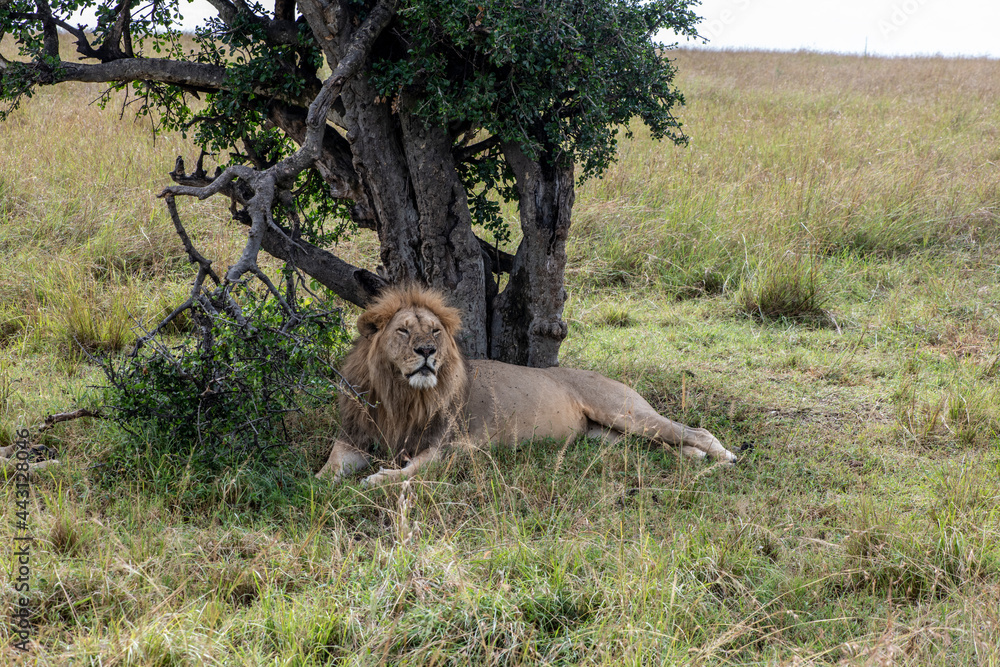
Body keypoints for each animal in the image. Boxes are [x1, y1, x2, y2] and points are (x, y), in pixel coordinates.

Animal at [317, 285, 737, 486]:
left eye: (434, 331)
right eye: (403, 331)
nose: (427, 351)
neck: (401, 395)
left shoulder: (455, 447)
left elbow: (412, 469)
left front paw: (380, 478)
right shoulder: (355, 436)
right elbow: (330, 466)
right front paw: (317, 483)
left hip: (624, 412)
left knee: (694, 430)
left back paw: (724, 458)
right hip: (609, 436)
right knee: (665, 443)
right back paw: (695, 457)